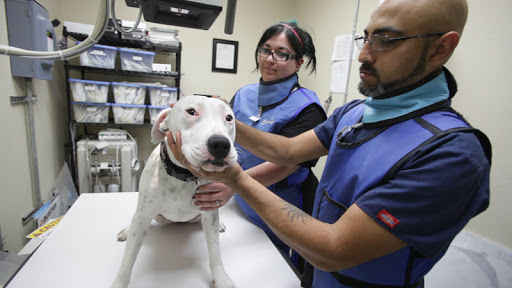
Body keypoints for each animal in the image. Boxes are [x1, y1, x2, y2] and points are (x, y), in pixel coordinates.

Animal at [112, 95, 238, 286]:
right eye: (191, 111)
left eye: (229, 118)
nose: (221, 144)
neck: (184, 176)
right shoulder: (144, 214)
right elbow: (128, 259)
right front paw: (119, 282)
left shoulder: (209, 213)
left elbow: (215, 250)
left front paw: (221, 278)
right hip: (150, 215)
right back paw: (127, 230)